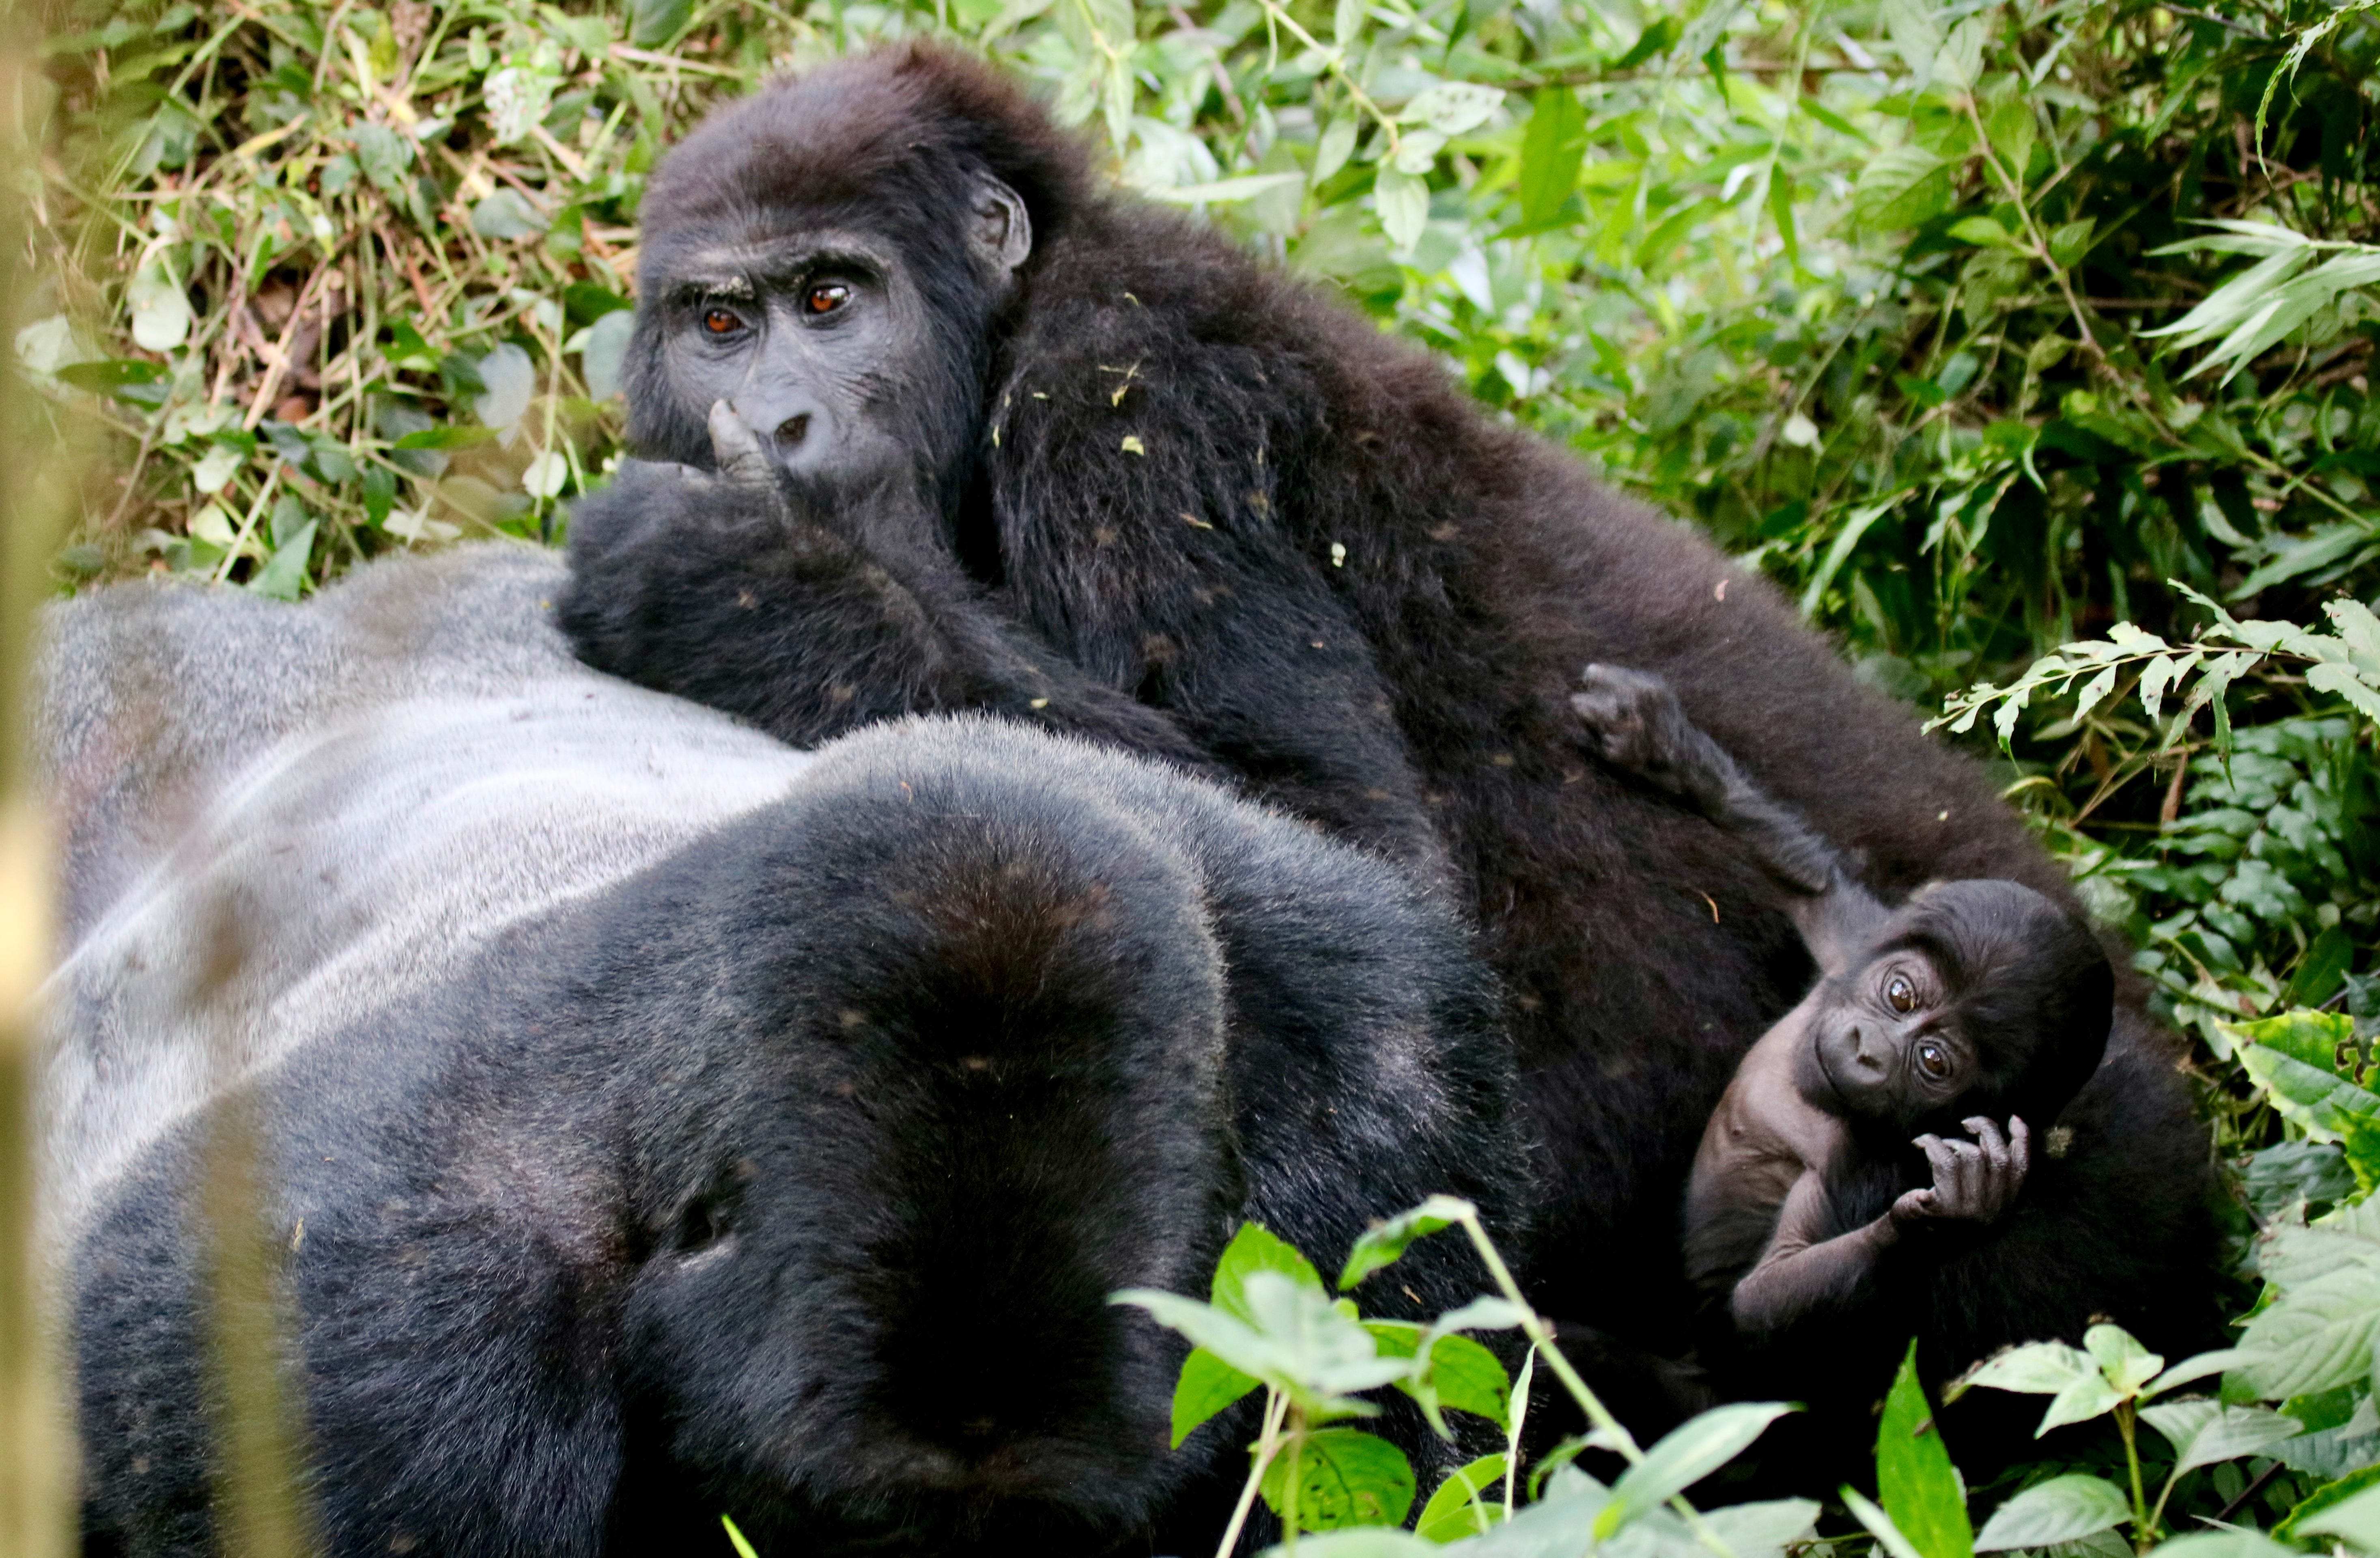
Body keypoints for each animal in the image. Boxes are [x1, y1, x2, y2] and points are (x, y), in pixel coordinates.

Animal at [1571, 667, 2113, 1401]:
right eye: (1900, 993)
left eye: (1934, 1060)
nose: (1868, 1048)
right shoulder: (1857, 942)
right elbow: (1816, 879)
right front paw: (1665, 749)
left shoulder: (1857, 1169)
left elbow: (1763, 1299)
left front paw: (1949, 1218)